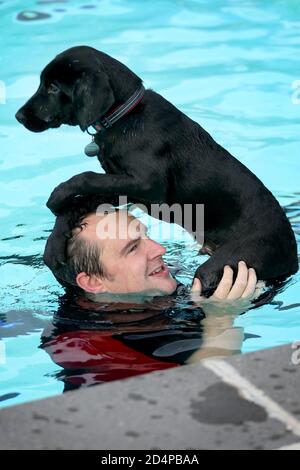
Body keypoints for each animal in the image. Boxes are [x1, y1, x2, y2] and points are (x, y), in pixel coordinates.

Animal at [15, 45, 298, 294]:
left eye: (52, 87)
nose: (18, 116)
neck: (124, 116)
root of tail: (292, 253)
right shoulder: (123, 187)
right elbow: (82, 200)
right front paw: (55, 242)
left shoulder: (148, 184)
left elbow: (85, 177)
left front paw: (58, 195)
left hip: (231, 260)